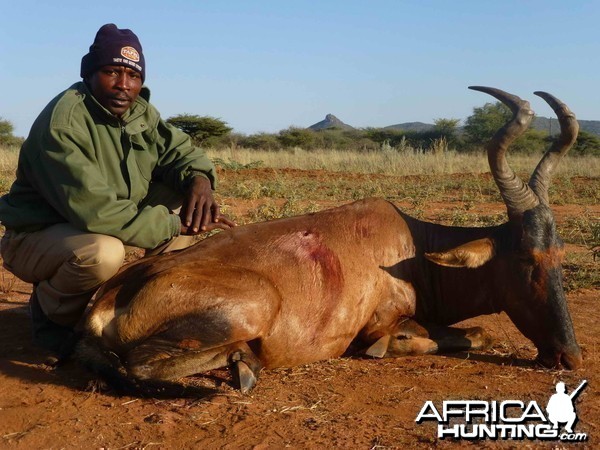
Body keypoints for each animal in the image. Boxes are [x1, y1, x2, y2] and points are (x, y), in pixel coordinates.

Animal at [74, 87, 580, 394]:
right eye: (524, 258)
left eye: (558, 254)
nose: (568, 356)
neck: (411, 247)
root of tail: (108, 297)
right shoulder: (381, 322)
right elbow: (458, 335)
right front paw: (388, 348)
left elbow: (477, 332)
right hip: (255, 303)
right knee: (139, 364)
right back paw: (242, 363)